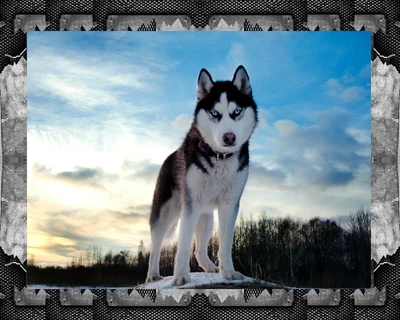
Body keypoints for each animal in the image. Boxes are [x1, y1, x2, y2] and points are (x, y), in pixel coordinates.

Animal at [145, 65, 258, 284]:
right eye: (214, 113)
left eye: (236, 112)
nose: (229, 137)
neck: (219, 157)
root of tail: (169, 157)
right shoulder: (191, 205)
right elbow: (183, 244)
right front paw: (180, 276)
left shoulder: (229, 204)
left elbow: (225, 244)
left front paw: (228, 272)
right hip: (166, 212)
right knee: (156, 245)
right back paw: (153, 274)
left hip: (206, 217)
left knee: (199, 249)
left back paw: (210, 267)